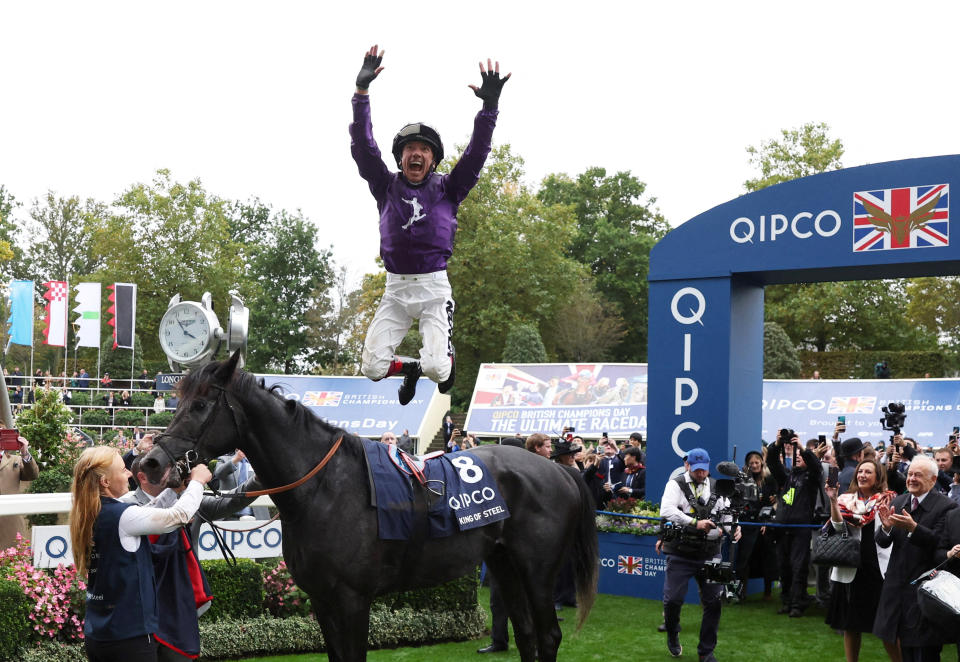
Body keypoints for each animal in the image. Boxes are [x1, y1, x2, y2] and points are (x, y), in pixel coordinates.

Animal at [143, 356, 596, 662]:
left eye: (200, 406)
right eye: (176, 402)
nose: (150, 462)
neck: (322, 488)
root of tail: (559, 469)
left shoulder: (353, 600)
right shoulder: (323, 600)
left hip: (537, 570)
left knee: (548, 635)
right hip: (504, 564)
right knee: (527, 634)